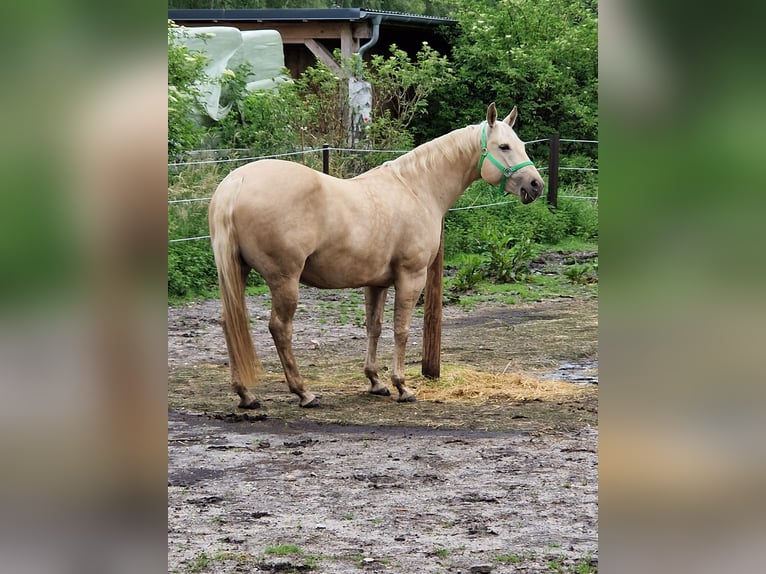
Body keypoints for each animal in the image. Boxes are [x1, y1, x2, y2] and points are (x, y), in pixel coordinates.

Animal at [210, 103, 544, 410]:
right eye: (503, 146)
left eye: (522, 145)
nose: (536, 184)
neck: (416, 189)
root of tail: (236, 183)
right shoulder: (411, 276)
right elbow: (401, 329)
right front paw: (402, 386)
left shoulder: (376, 283)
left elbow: (375, 327)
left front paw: (375, 381)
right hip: (285, 280)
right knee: (280, 328)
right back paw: (303, 392)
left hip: (238, 273)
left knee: (229, 322)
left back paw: (246, 395)